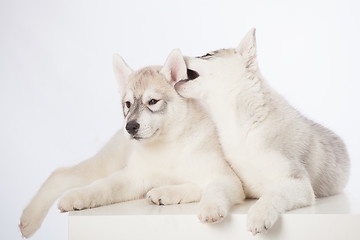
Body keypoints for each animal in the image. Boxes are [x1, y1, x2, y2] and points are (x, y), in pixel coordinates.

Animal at [19, 49, 245, 238]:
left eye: (152, 101)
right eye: (127, 104)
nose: (130, 127)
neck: (168, 144)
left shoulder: (227, 179)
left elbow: (212, 188)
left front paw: (206, 206)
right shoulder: (133, 177)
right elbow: (104, 187)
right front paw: (80, 196)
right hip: (106, 164)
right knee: (62, 174)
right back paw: (30, 219)